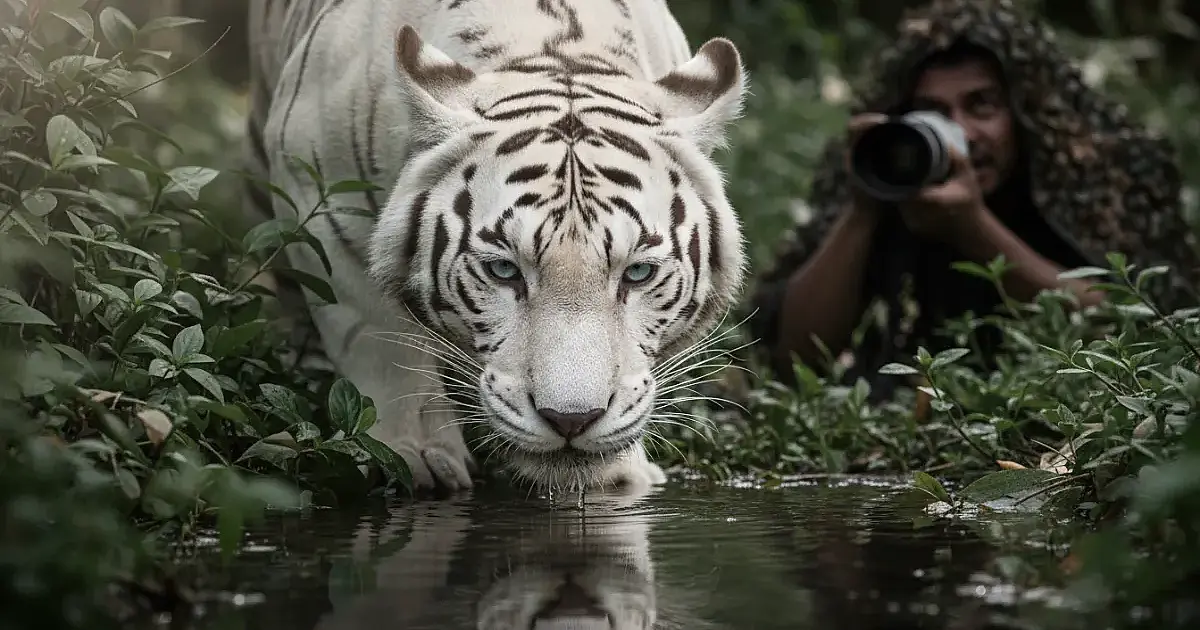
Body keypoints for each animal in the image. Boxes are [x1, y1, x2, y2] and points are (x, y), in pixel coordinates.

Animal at [243, 0, 748, 496]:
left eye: (638, 274)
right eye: (503, 271)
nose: (571, 420)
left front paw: (621, 472)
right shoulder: (323, 195)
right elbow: (381, 341)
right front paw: (417, 455)